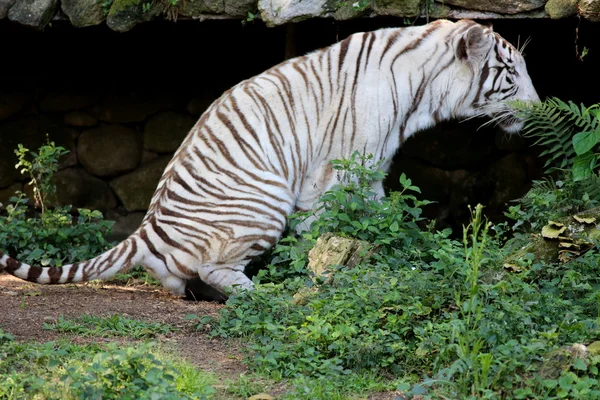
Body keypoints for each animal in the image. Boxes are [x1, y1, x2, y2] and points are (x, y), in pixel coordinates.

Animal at [0, 18, 540, 298]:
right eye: (511, 73)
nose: (539, 108)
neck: (422, 92)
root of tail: (146, 229)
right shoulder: (340, 174)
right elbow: (333, 230)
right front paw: (322, 275)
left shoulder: (371, 173)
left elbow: (385, 222)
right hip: (264, 201)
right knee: (214, 268)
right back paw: (259, 293)